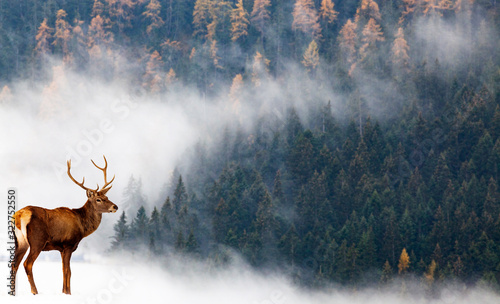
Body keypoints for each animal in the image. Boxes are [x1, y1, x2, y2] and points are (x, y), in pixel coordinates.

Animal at [11, 157, 118, 294]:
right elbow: (68, 271)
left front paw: (64, 291)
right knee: (27, 264)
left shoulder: (61, 249)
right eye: (98, 199)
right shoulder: (68, 244)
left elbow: (64, 270)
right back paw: (35, 291)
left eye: (107, 196)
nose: (115, 207)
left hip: (20, 241)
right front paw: (68, 293)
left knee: (14, 264)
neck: (82, 227)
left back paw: (12, 293)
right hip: (37, 241)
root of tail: (19, 216)